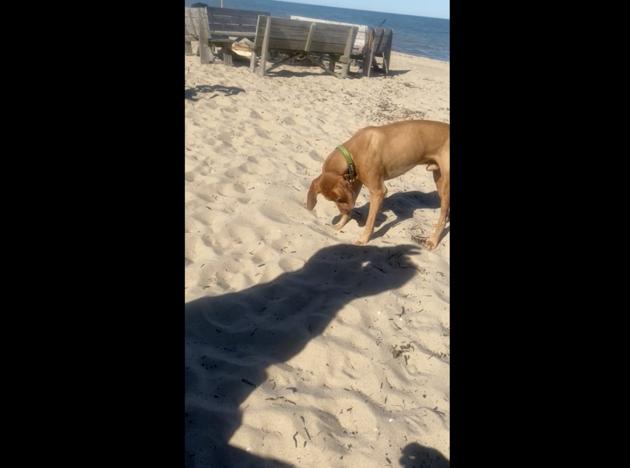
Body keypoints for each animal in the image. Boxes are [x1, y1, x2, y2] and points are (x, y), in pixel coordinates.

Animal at [306, 119, 450, 249]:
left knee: (442, 216)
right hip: (438, 180)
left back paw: (432, 240)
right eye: (334, 201)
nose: (344, 211)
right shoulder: (355, 185)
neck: (352, 152)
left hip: (445, 186)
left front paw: (363, 238)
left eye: (339, 199)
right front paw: (340, 224)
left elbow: (370, 220)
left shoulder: (377, 191)